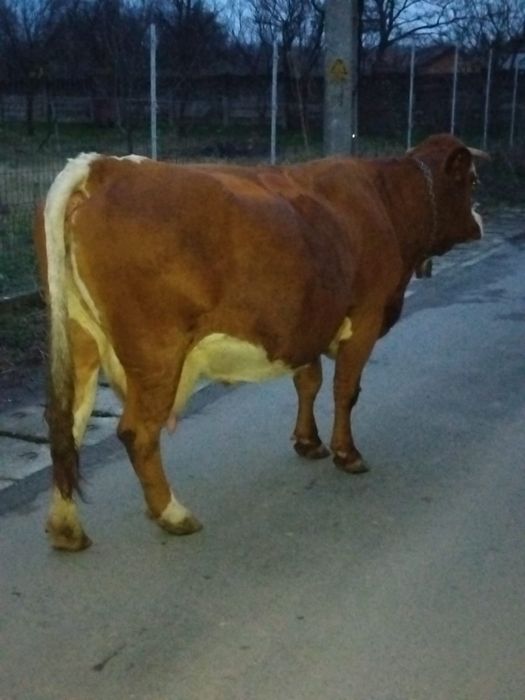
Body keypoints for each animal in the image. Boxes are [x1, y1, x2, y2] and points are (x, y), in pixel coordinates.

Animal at [34, 133, 485, 551]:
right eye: (472, 180)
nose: (481, 220)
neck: (387, 200)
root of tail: (104, 166)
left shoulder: (307, 321)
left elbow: (309, 382)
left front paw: (308, 442)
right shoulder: (366, 317)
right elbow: (345, 390)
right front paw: (347, 453)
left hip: (80, 341)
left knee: (66, 426)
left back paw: (66, 528)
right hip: (156, 353)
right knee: (137, 433)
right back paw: (173, 514)